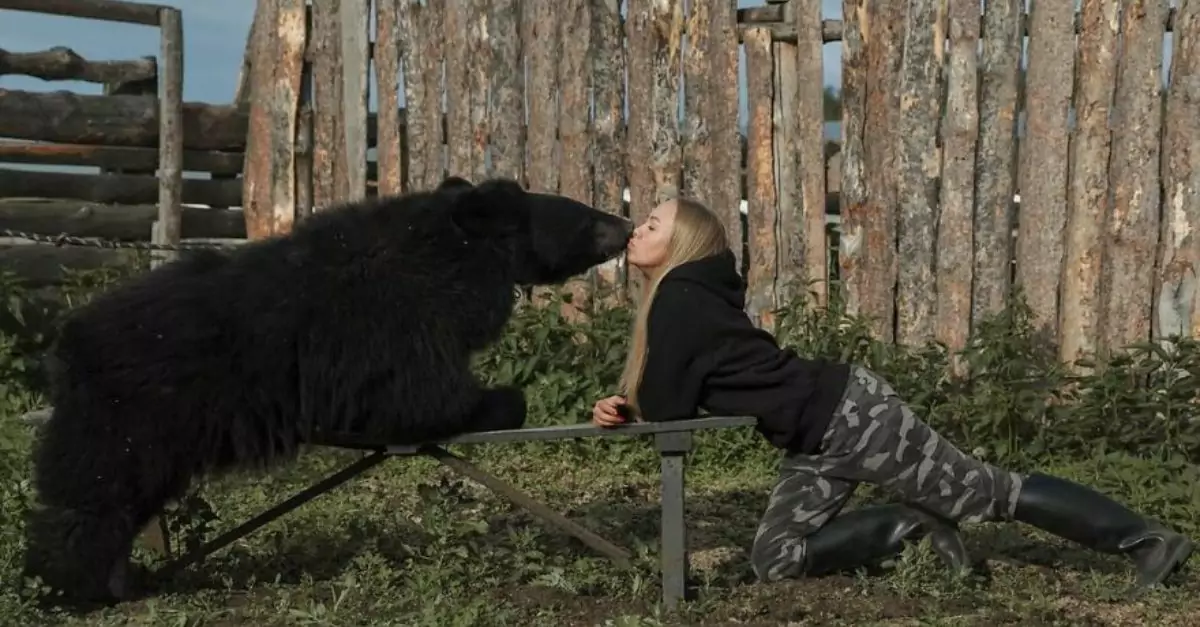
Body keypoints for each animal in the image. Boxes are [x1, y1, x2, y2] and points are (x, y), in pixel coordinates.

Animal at [23, 175, 633, 605]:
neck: (456, 250)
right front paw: (501, 400)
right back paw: (72, 586)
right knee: (87, 501)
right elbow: (422, 397)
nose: (627, 221)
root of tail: (66, 347)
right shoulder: (393, 323)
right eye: (586, 215)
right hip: (129, 419)